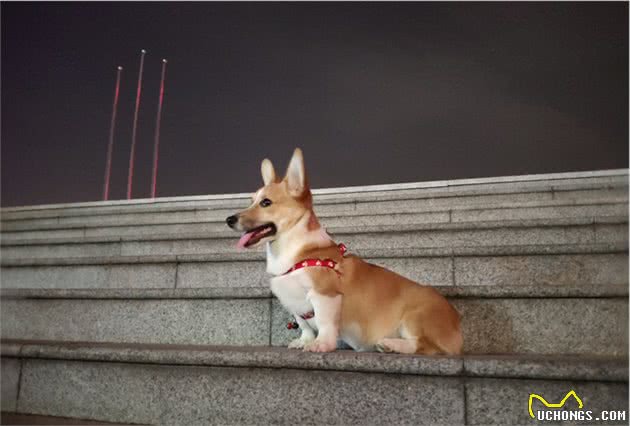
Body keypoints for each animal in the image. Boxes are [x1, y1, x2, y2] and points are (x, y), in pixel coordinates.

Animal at [227, 148, 464, 354]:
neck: (293, 251)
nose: (229, 219)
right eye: (251, 201)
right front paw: (304, 341)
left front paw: (321, 344)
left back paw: (391, 345)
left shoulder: (326, 294)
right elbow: (304, 325)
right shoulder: (295, 305)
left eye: (266, 202)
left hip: (416, 317)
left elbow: (324, 323)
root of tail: (457, 321)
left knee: (424, 346)